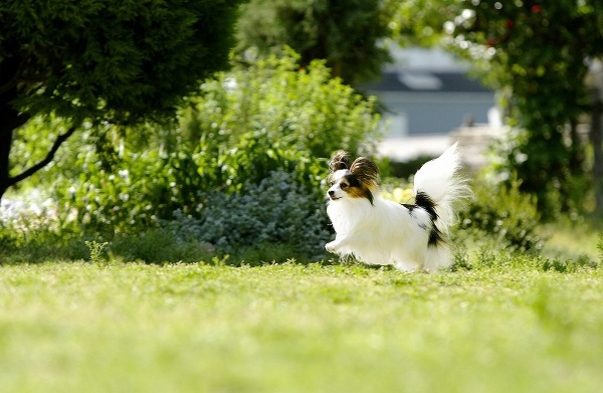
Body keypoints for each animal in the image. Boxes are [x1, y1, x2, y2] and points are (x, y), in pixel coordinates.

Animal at [326, 142, 472, 272]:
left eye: (344, 185)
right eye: (332, 184)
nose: (330, 192)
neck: (350, 204)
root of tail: (423, 209)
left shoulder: (363, 235)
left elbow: (346, 238)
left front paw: (332, 246)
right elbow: (342, 237)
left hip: (412, 248)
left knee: (425, 260)